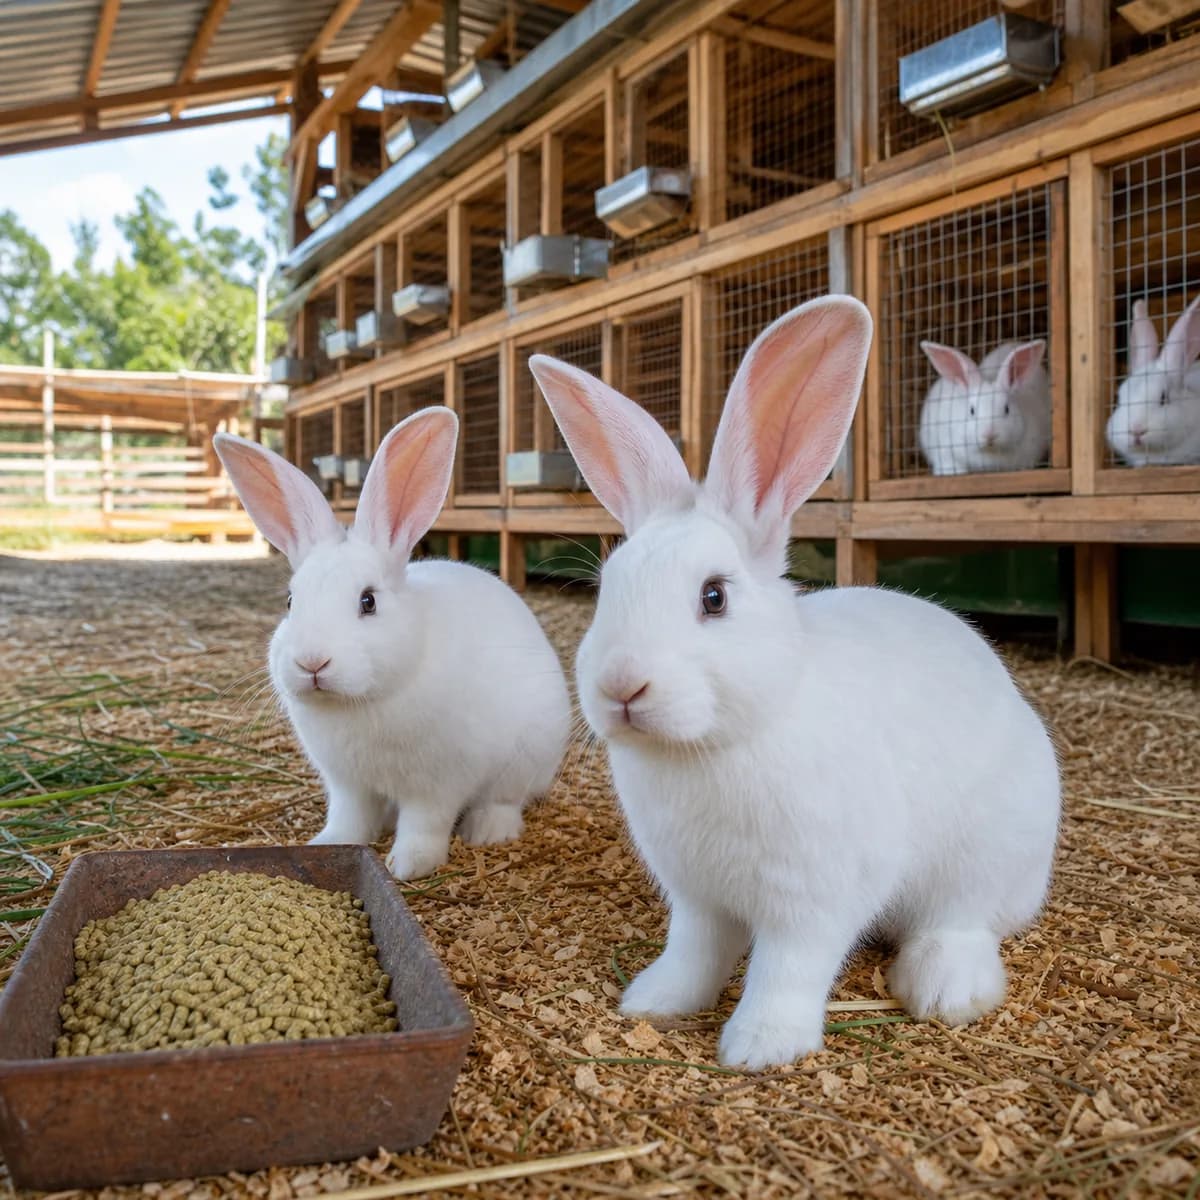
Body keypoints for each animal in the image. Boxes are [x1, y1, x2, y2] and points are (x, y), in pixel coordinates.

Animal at [213, 407, 571, 880]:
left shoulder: (437, 784)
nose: (312, 662)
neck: (363, 702)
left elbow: (425, 824)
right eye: (291, 601)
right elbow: (349, 818)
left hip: (528, 757)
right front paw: (329, 843)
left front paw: (408, 866)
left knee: (506, 800)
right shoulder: (347, 784)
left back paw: (487, 831)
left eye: (368, 601)